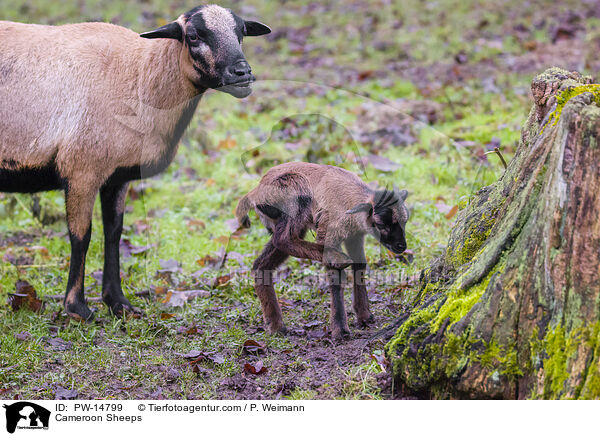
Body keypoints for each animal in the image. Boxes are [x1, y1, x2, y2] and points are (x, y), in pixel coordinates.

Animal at [0, 4, 270, 320]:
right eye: (193, 36)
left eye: (242, 32)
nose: (243, 73)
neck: (141, 75)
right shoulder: (81, 169)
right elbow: (81, 236)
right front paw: (77, 308)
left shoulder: (117, 176)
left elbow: (114, 232)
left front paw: (118, 303)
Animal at [234, 161, 408, 340]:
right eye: (380, 224)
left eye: (405, 221)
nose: (401, 246)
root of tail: (255, 193)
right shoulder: (327, 230)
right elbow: (336, 279)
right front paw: (340, 330)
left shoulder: (355, 236)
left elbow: (360, 266)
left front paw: (364, 315)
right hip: (295, 192)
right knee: (282, 239)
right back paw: (338, 258)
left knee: (261, 263)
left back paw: (276, 326)